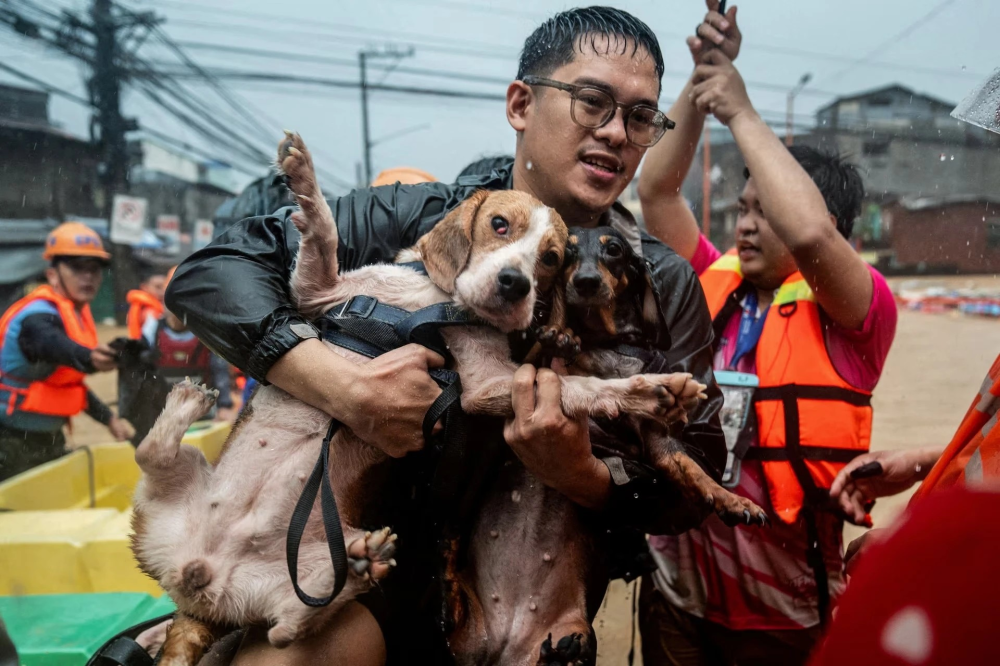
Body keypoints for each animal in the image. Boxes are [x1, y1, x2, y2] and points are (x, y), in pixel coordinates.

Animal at [129, 135, 704, 664]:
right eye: (500, 224)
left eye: (551, 258)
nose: (514, 285)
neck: (438, 303)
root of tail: (200, 587)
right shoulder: (318, 292)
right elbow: (324, 232)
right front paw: (302, 176)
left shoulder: (484, 383)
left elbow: (574, 387)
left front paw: (646, 392)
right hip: (162, 505)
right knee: (153, 458)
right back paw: (185, 407)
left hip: (277, 581)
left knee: (287, 627)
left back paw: (361, 561)